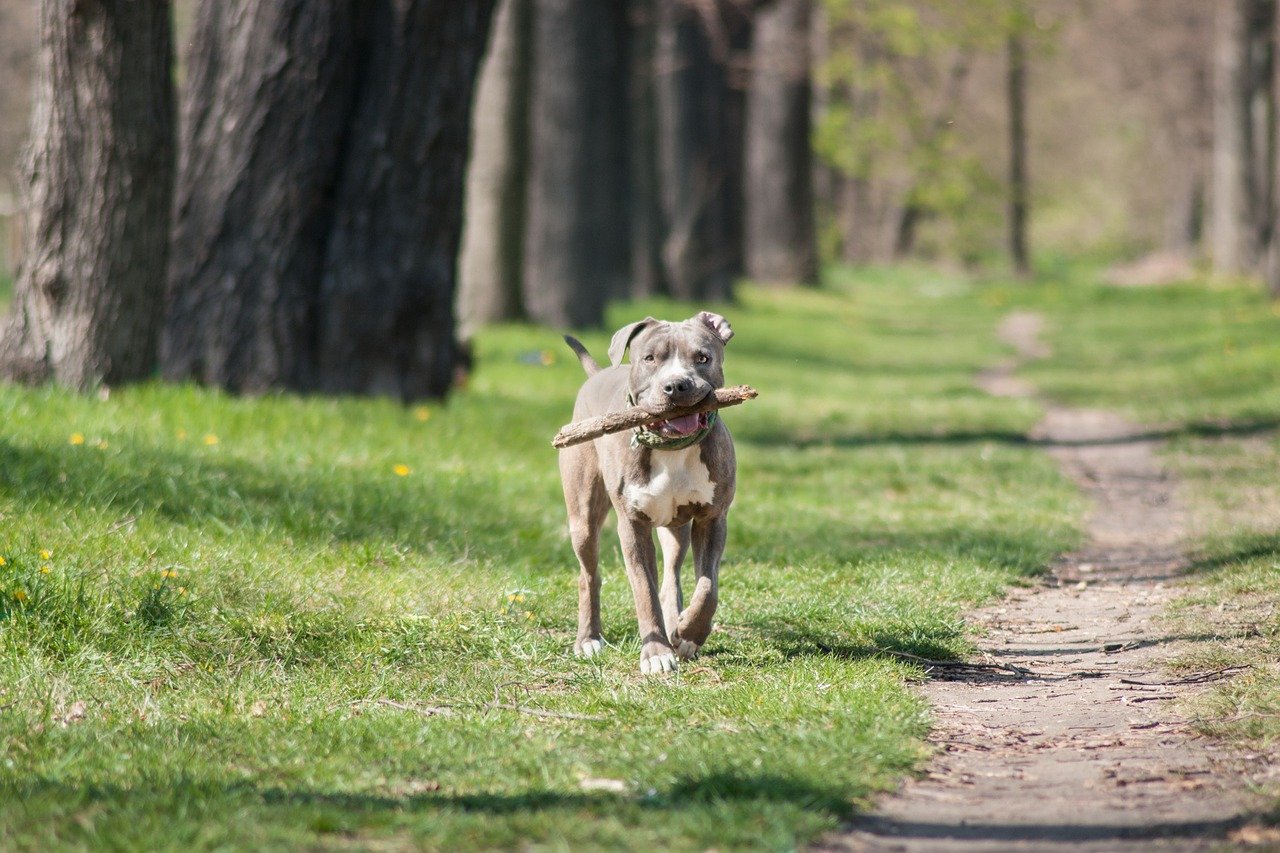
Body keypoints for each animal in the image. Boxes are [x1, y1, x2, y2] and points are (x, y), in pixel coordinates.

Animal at [555, 311, 737, 671]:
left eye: (702, 358)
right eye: (650, 358)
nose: (677, 385)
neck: (672, 447)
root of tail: (598, 374)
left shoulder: (712, 518)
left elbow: (707, 587)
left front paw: (689, 633)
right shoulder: (632, 525)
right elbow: (644, 591)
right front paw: (656, 654)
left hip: (676, 528)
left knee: (671, 576)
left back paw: (676, 624)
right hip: (583, 519)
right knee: (589, 576)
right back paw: (588, 639)